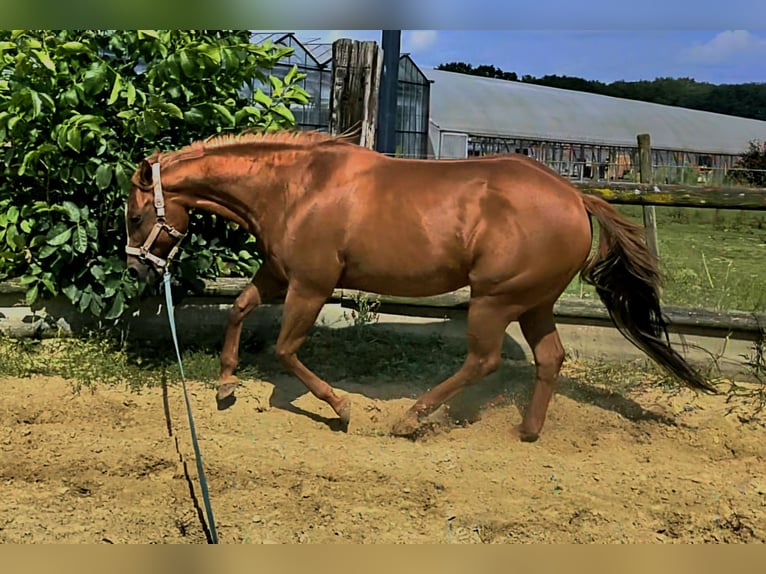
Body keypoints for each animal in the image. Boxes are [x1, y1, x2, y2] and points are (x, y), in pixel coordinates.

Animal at [124, 130, 714, 441]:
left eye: (132, 217)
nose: (136, 270)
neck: (297, 188)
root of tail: (576, 196)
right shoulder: (278, 273)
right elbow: (240, 309)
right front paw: (226, 385)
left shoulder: (311, 285)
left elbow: (286, 349)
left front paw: (340, 409)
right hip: (534, 302)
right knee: (550, 357)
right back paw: (526, 431)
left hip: (496, 298)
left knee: (484, 360)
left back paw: (411, 417)